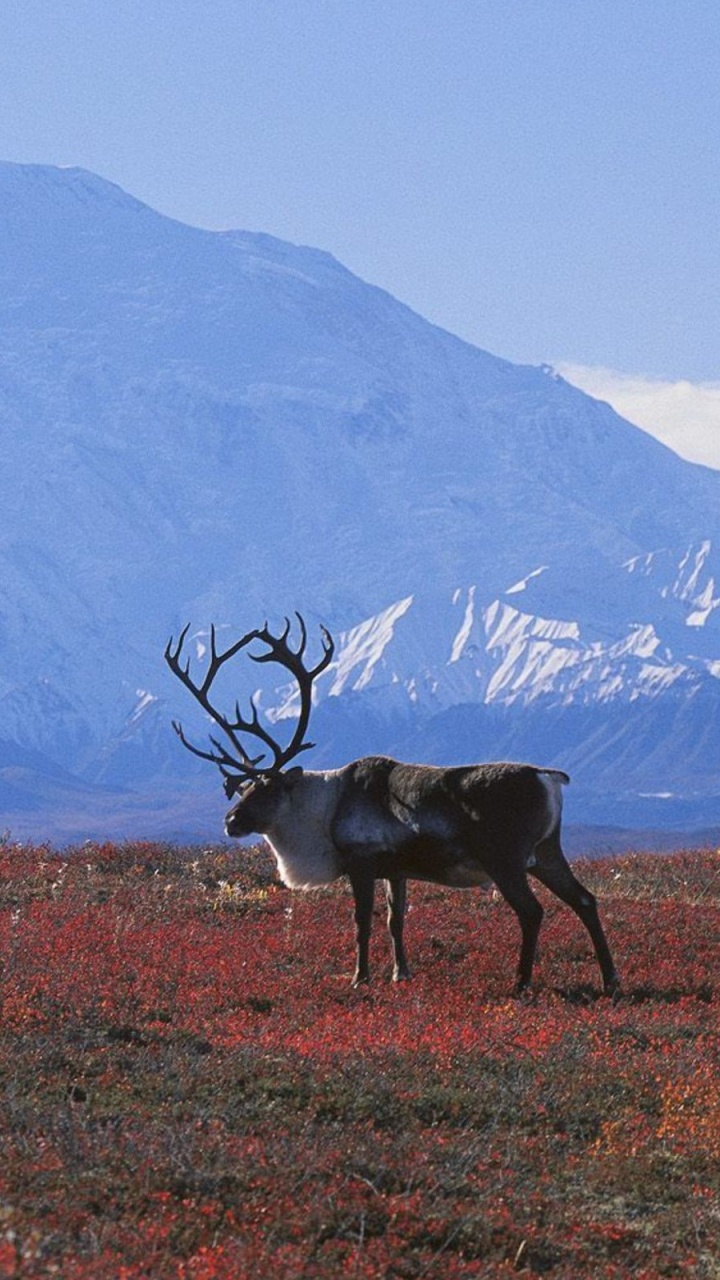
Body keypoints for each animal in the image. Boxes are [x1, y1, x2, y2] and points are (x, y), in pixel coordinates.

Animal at [165, 614, 620, 997]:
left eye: (265, 789)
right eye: (242, 788)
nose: (230, 821)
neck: (325, 807)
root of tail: (548, 778)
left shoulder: (361, 863)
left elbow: (362, 923)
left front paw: (359, 977)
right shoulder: (396, 870)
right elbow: (395, 921)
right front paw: (402, 973)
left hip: (505, 859)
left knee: (532, 911)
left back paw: (521, 982)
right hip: (547, 852)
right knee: (585, 900)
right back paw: (610, 980)